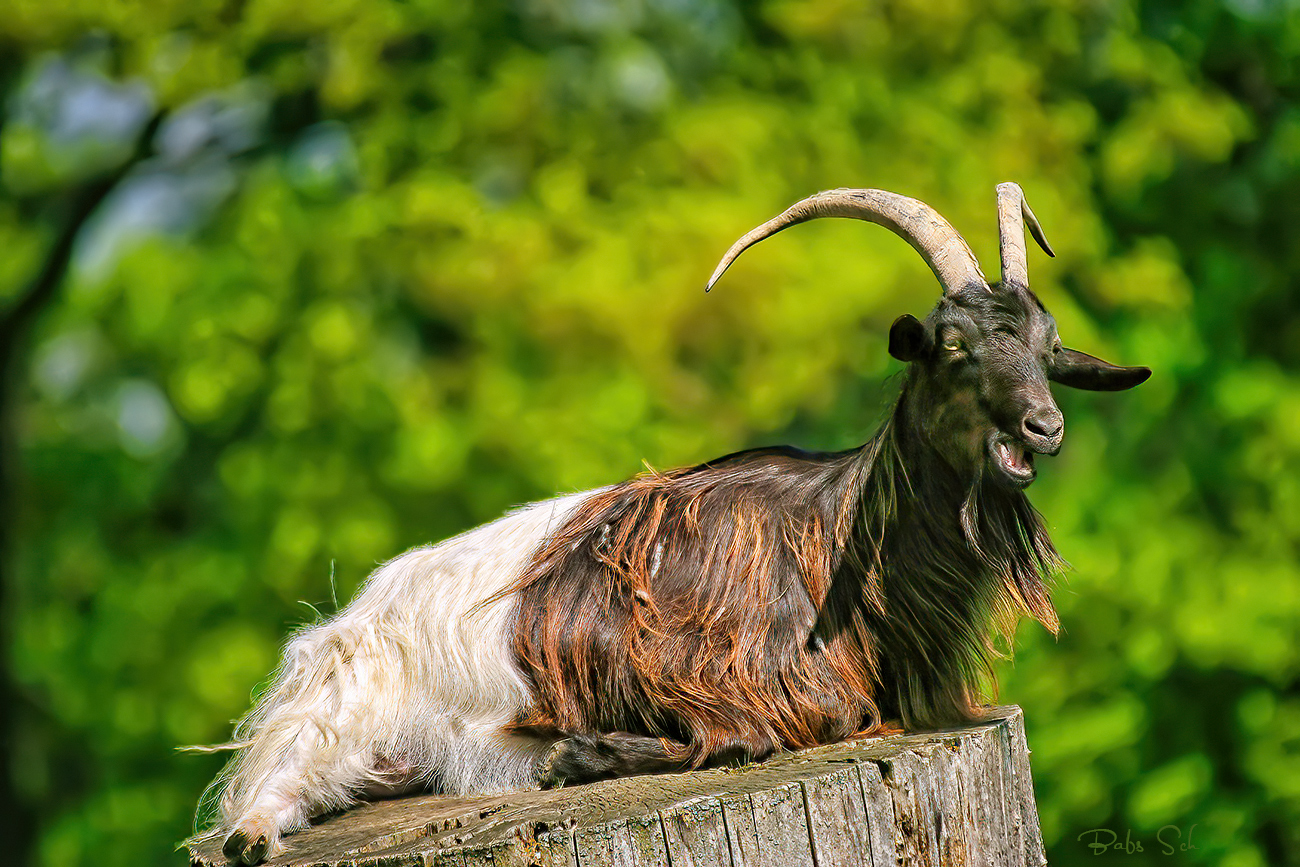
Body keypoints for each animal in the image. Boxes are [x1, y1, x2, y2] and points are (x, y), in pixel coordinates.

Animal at [210, 183, 1149, 863]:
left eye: (1048, 347)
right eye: (952, 346)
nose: (1044, 428)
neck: (837, 535)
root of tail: (359, 609)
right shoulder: (718, 665)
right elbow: (767, 730)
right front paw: (578, 756)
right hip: (342, 697)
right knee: (278, 777)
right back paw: (254, 835)